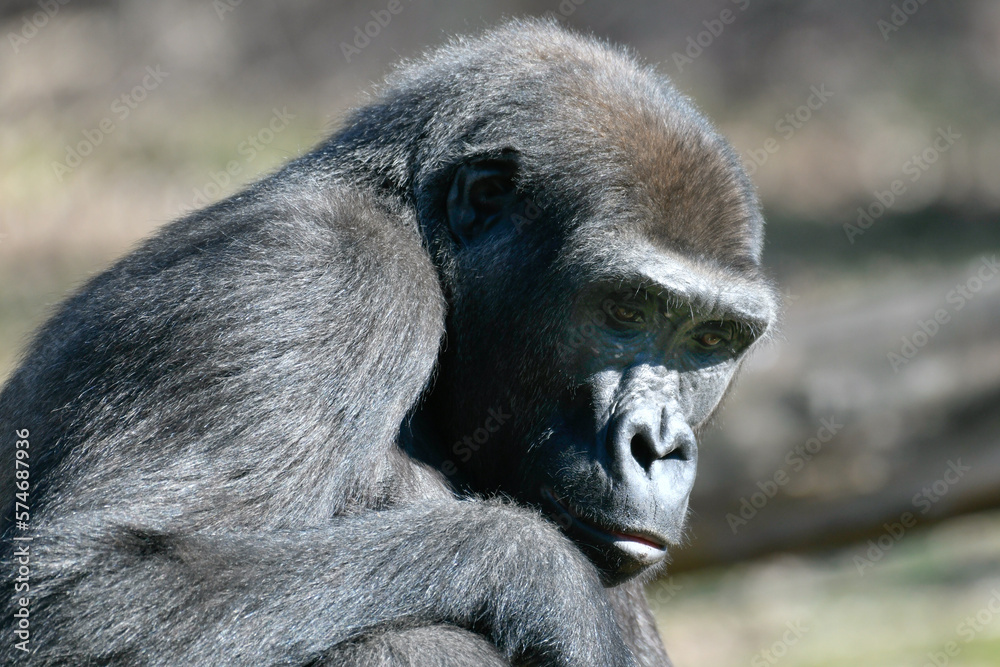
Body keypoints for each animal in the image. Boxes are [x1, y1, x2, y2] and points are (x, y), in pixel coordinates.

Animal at [0, 17, 776, 667]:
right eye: (626, 308)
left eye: (710, 338)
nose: (660, 445)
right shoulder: (322, 272)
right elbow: (90, 590)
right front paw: (546, 577)